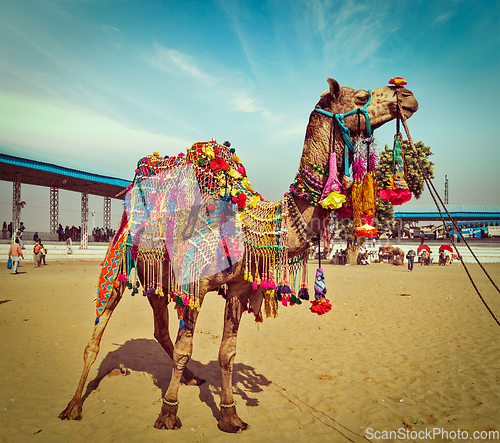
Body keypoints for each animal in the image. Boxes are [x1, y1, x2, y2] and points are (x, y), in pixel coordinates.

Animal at [58, 78, 418, 432]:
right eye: (360, 95)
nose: (406, 94)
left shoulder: (238, 287)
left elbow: (226, 352)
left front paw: (230, 416)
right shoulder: (196, 284)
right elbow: (186, 349)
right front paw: (168, 414)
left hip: (156, 277)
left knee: (160, 328)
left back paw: (191, 379)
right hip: (120, 255)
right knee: (99, 330)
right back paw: (73, 406)